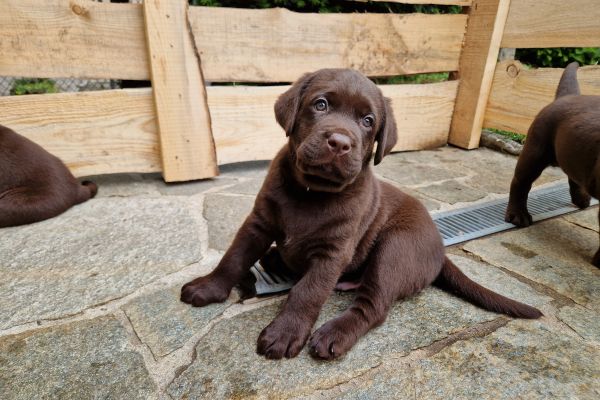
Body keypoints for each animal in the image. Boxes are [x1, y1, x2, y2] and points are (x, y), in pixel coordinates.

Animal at [180, 68, 540, 360]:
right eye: (320, 105)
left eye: (368, 121)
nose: (340, 142)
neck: (311, 192)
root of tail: (439, 249)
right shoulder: (258, 223)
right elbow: (233, 257)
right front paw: (208, 287)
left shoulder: (333, 252)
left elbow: (307, 292)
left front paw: (285, 333)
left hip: (395, 248)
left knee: (375, 306)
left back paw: (334, 333)